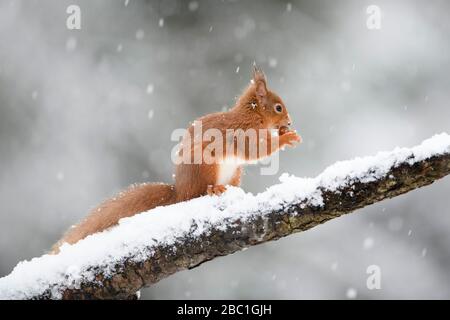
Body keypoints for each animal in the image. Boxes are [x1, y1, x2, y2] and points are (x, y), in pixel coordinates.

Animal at [51, 68, 300, 255]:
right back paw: (214, 189)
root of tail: (179, 192)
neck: (252, 116)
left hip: (235, 172)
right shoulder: (243, 134)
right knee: (198, 193)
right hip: (206, 166)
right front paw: (287, 137)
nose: (289, 121)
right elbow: (257, 150)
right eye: (278, 107)